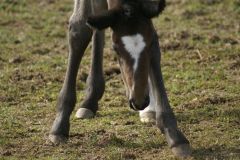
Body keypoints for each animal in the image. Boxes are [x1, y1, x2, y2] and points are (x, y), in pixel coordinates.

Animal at [50, 0, 191, 158]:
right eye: (115, 48)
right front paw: (59, 126)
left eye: (149, 45)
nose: (139, 101)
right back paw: (90, 99)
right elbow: (79, 29)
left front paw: (174, 135)